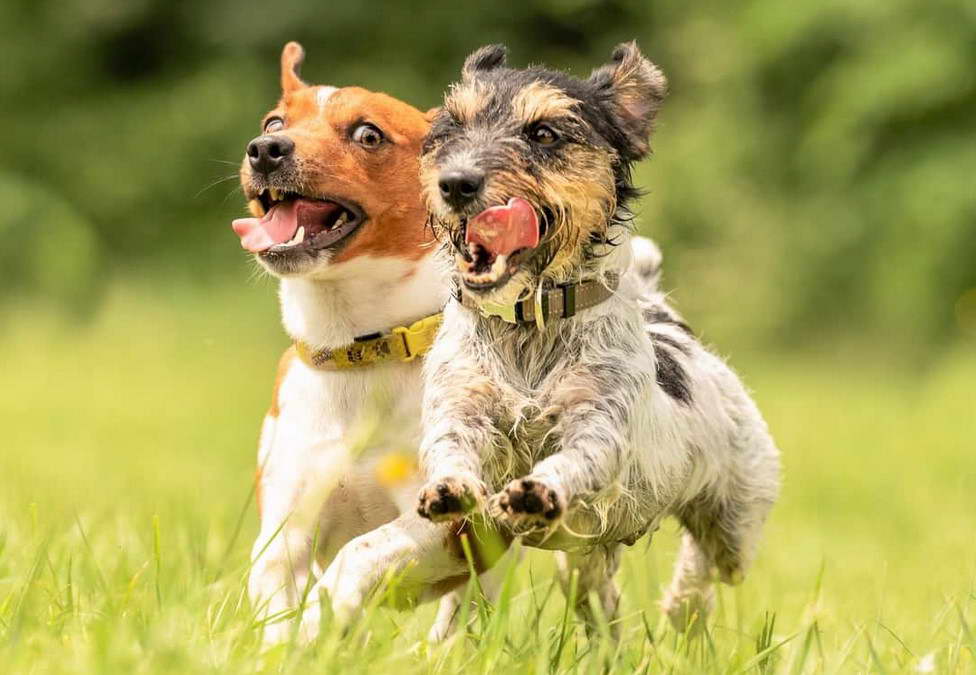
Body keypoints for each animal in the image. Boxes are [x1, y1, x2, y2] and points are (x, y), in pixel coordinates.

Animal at [236, 43, 500, 648]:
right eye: (273, 122)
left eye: (368, 134)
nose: (265, 150)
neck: (358, 349)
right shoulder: (283, 536)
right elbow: (277, 605)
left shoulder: (450, 523)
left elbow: (360, 552)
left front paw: (319, 621)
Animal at [416, 43, 780, 632]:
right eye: (451, 126)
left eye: (544, 133)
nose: (456, 183)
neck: (530, 324)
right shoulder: (460, 403)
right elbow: (450, 446)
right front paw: (450, 489)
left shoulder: (600, 424)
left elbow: (576, 458)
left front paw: (537, 492)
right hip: (585, 560)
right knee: (598, 593)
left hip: (738, 517)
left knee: (708, 565)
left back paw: (684, 605)